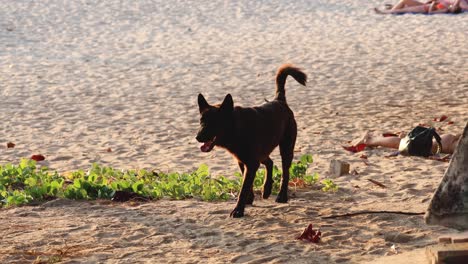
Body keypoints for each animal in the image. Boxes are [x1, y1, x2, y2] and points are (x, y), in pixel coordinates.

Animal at [196, 64, 306, 217]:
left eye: (213, 123)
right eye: (201, 121)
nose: (198, 137)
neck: (235, 129)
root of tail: (280, 100)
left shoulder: (251, 163)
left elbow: (244, 188)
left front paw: (238, 210)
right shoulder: (243, 161)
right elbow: (247, 183)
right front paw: (250, 199)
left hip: (286, 148)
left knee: (285, 172)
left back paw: (282, 196)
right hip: (263, 152)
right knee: (269, 162)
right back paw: (267, 189)